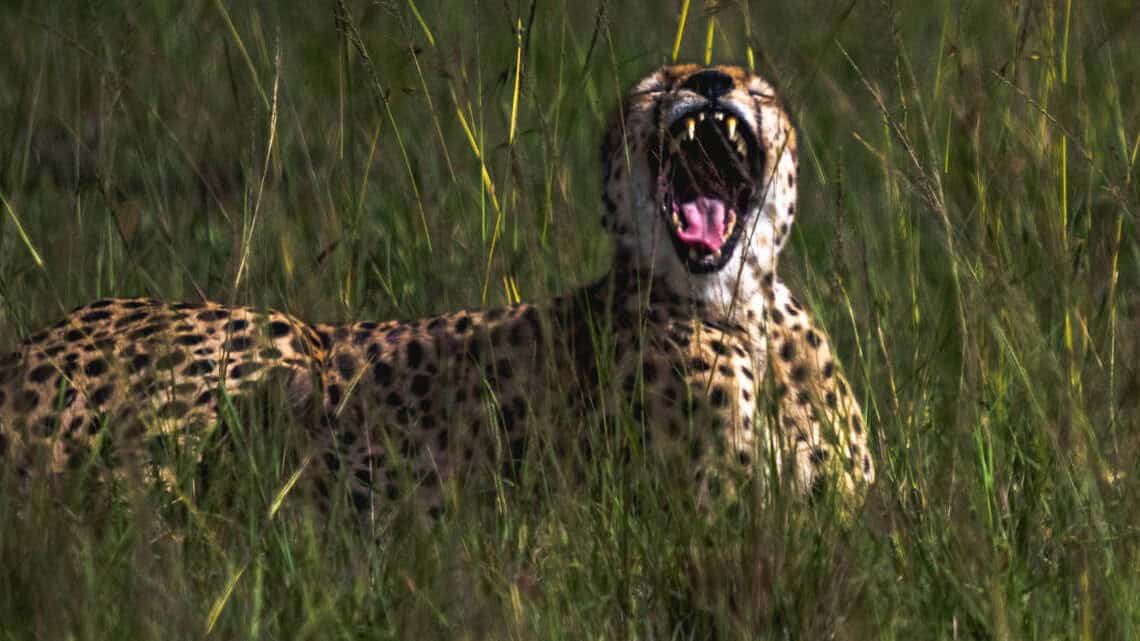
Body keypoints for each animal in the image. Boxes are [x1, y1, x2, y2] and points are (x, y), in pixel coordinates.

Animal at [0, 64, 873, 518]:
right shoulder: (700, 512)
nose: (711, 80)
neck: (743, 305)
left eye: (754, 87)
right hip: (276, 342)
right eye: (659, 85)